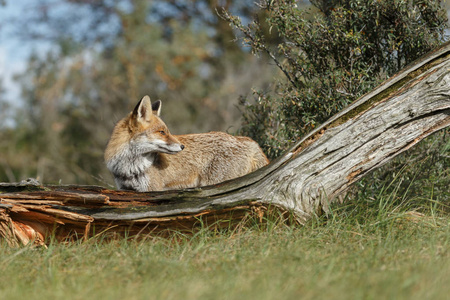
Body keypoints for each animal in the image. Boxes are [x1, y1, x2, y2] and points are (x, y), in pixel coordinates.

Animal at [103, 95, 268, 191]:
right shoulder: (126, 190)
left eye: (167, 131)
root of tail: (247, 140)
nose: (182, 146)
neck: (128, 167)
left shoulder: (151, 190)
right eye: (162, 132)